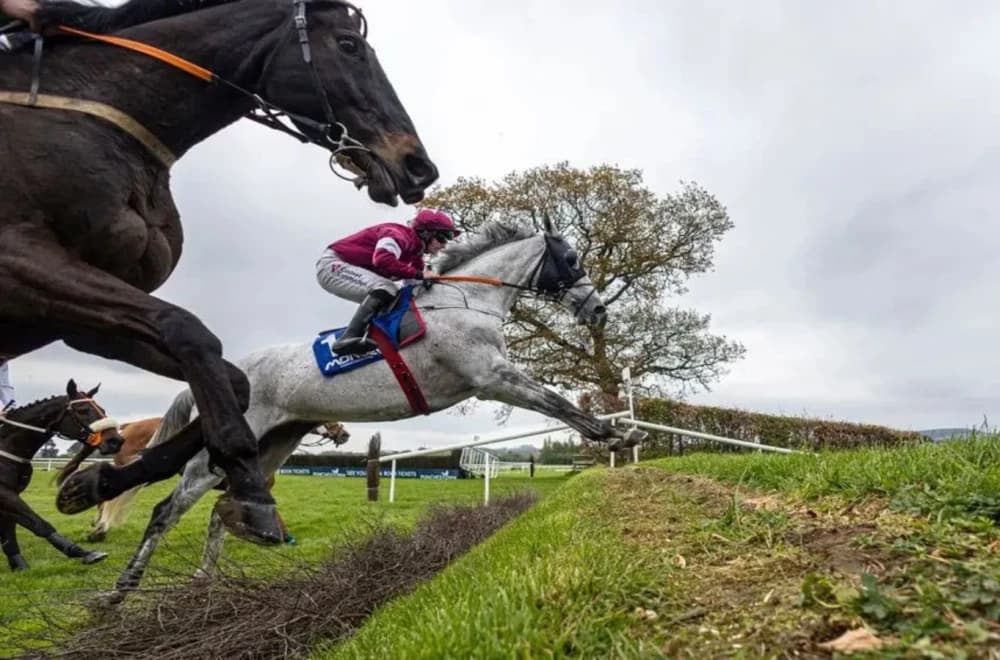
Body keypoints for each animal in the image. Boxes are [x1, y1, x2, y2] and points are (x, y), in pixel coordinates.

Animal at [0, 380, 124, 571]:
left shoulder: (12, 492)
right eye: (82, 410)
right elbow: (39, 524)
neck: (7, 447)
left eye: (103, 410)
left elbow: (10, 530)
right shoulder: (4, 492)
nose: (115, 441)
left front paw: (19, 566)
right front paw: (81, 552)